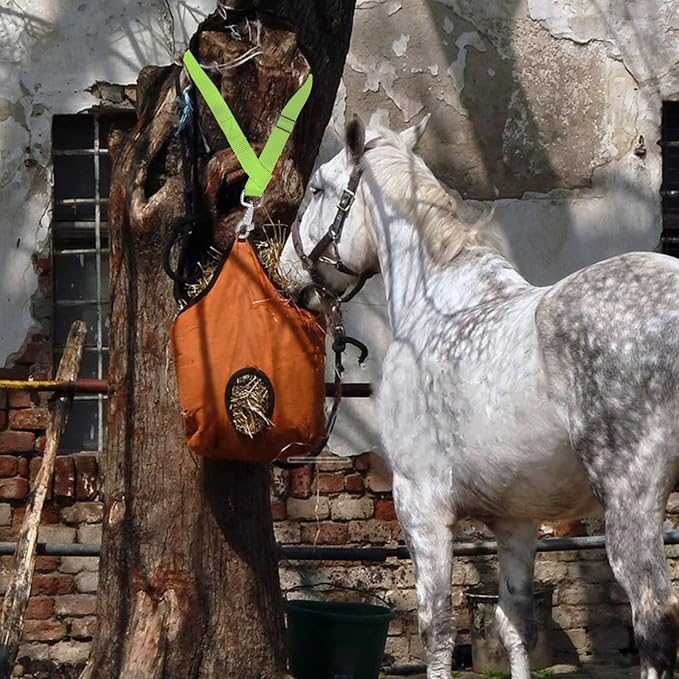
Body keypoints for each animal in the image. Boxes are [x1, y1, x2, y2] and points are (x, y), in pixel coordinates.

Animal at [278, 115, 679, 679]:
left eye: (317, 188)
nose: (289, 274)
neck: (436, 299)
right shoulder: (516, 520)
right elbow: (516, 628)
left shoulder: (420, 505)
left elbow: (438, 630)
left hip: (631, 503)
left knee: (654, 626)